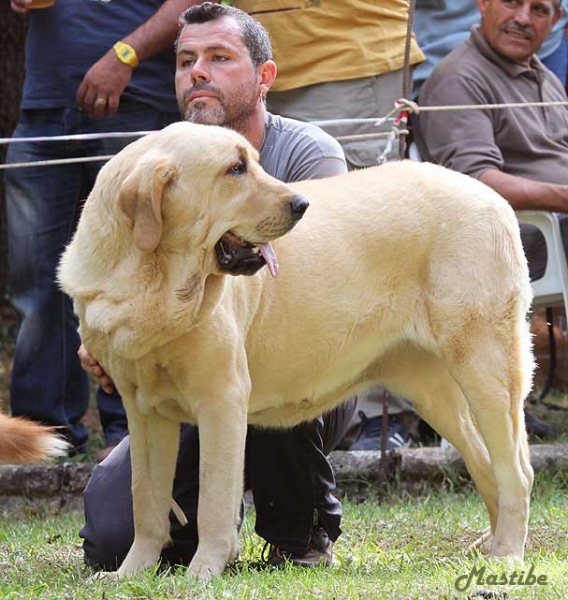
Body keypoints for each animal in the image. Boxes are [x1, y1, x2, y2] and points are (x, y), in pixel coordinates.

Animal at [60, 120, 536, 580]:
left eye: (251, 162)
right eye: (235, 169)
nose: (302, 203)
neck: (153, 277)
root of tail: (491, 197)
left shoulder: (222, 401)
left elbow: (212, 503)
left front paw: (202, 572)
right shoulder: (145, 413)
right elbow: (146, 502)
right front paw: (131, 573)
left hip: (486, 368)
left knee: (516, 470)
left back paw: (507, 555)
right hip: (435, 391)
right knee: (485, 463)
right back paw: (491, 545)